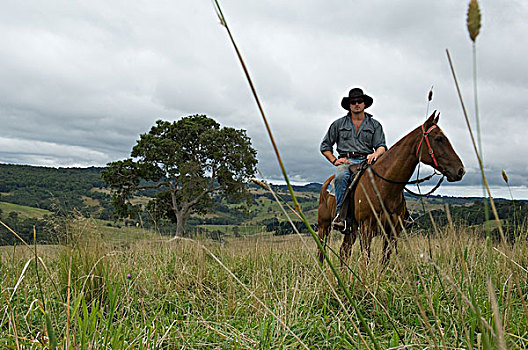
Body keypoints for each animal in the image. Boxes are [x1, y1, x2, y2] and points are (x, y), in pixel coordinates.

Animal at [318, 112, 462, 266]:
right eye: (439, 138)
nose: (460, 170)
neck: (383, 186)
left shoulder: (393, 231)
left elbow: (385, 260)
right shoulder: (366, 228)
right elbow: (365, 260)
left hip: (351, 230)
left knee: (344, 251)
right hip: (324, 226)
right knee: (322, 251)